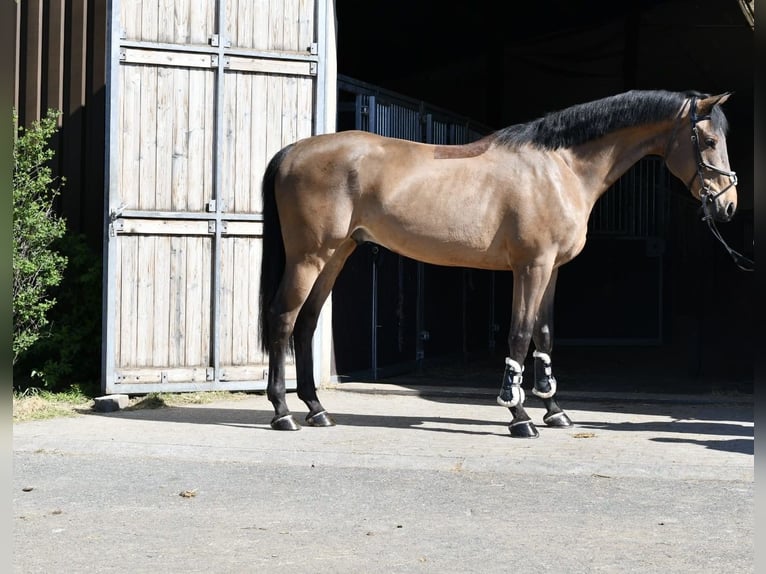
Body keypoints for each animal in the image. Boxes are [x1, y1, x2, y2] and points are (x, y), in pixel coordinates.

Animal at [258, 90, 738, 438]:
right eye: (709, 141)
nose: (728, 206)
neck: (559, 168)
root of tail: (293, 151)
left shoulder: (552, 271)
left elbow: (544, 335)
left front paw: (554, 410)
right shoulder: (531, 267)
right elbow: (520, 335)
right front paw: (519, 415)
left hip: (336, 254)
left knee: (306, 323)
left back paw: (317, 409)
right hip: (309, 257)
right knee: (282, 319)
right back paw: (283, 412)